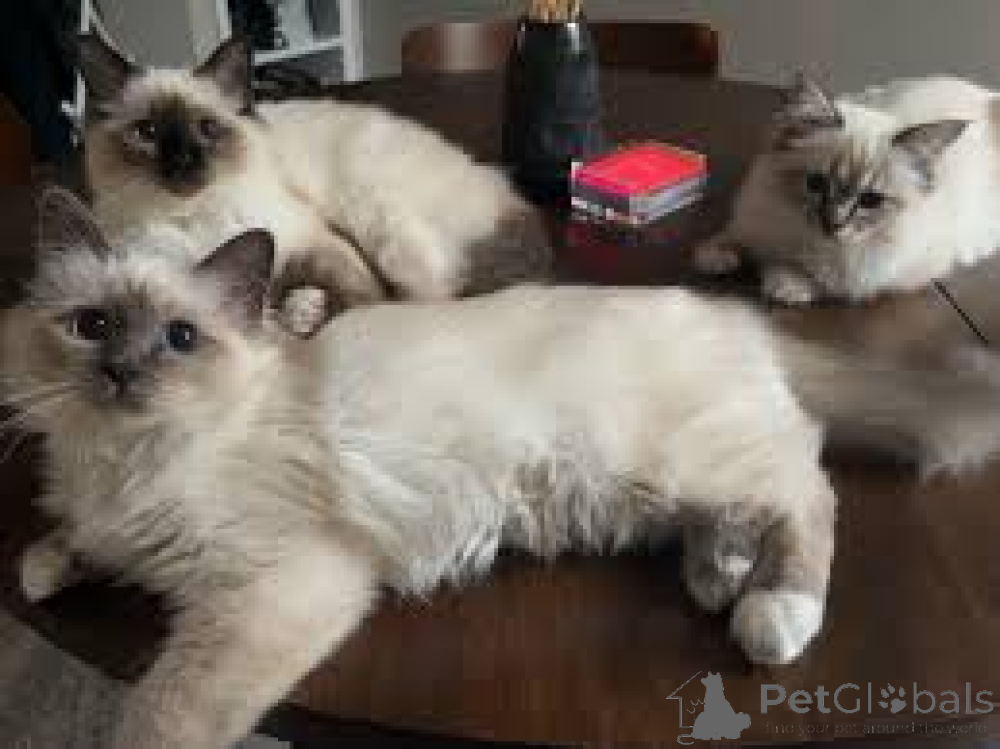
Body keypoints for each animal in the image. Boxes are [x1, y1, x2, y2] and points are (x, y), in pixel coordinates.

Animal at [10, 189, 1000, 749]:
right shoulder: (113, 516)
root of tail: (737, 316)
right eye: (93, 326)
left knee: (808, 484)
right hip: (657, 488)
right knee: (754, 504)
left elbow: (160, 712)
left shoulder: (269, 589)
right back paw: (719, 575)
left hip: (685, 460)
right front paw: (47, 564)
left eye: (181, 338)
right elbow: (63, 544)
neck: (128, 459)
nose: (122, 373)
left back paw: (773, 612)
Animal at [79, 32, 551, 305]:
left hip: (379, 226)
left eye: (208, 129)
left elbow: (361, 295)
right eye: (147, 132)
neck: (193, 217)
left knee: (434, 294)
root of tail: (502, 188)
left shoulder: (314, 242)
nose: (183, 162)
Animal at [695, 74, 1000, 304]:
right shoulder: (753, 220)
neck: (806, 236)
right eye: (816, 184)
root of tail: (985, 94)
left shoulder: (884, 272)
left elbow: (826, 277)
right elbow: (729, 237)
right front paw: (715, 257)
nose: (834, 224)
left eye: (870, 201)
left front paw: (785, 282)